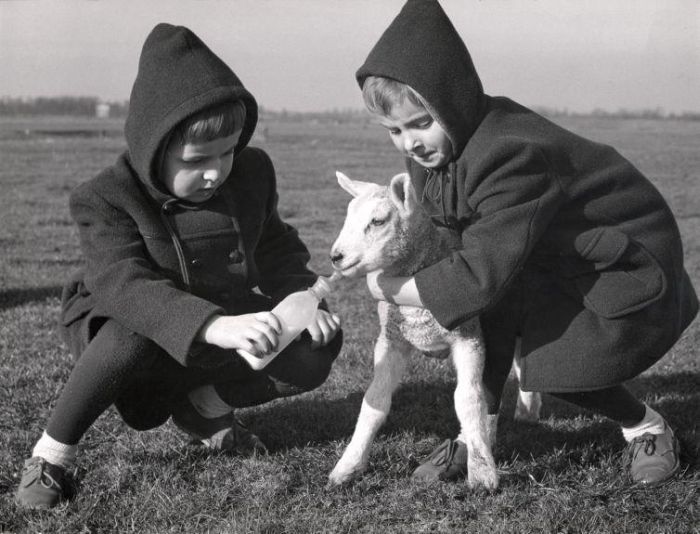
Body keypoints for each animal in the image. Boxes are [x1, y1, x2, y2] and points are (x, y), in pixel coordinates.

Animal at [328, 173, 540, 494]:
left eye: (377, 221)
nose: (335, 257)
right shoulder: (392, 339)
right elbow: (375, 401)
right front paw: (348, 466)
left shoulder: (469, 336)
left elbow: (469, 400)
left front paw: (482, 472)